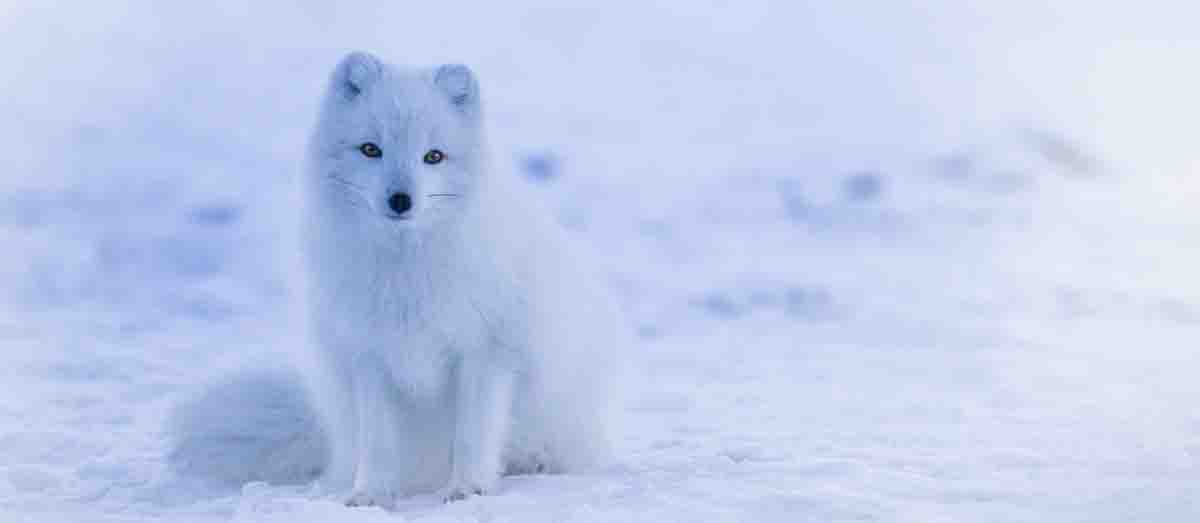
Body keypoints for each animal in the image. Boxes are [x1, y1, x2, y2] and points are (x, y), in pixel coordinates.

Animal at [302, 50, 619, 503]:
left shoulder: (484, 350)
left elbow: (473, 432)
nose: (400, 200)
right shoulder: (369, 355)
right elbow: (377, 439)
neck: (408, 271)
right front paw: (372, 495)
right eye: (370, 149)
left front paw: (467, 488)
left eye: (433, 156)